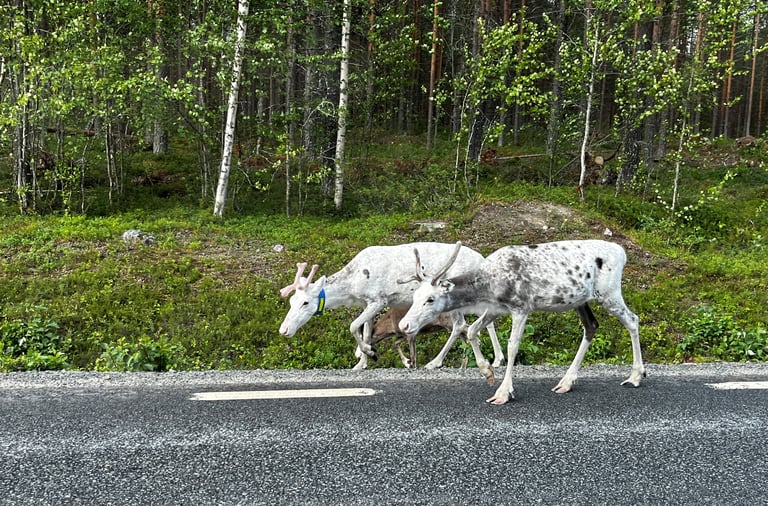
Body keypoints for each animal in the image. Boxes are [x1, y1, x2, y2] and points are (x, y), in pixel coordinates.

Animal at [278, 242, 505, 370]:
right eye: (291, 301)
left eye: (305, 302)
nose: (284, 329)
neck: (351, 288)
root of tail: (484, 260)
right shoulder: (368, 303)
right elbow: (366, 331)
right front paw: (361, 363)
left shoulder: (378, 300)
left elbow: (353, 326)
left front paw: (368, 353)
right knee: (484, 321)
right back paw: (496, 359)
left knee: (460, 325)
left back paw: (435, 362)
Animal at [398, 240, 645, 405]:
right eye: (415, 296)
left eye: (430, 299)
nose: (404, 325)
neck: (489, 286)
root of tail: (622, 253)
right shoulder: (496, 309)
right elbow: (471, 331)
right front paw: (488, 372)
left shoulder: (521, 307)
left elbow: (512, 345)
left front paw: (503, 392)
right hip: (581, 299)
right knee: (591, 326)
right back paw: (567, 381)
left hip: (609, 292)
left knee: (633, 319)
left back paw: (635, 376)